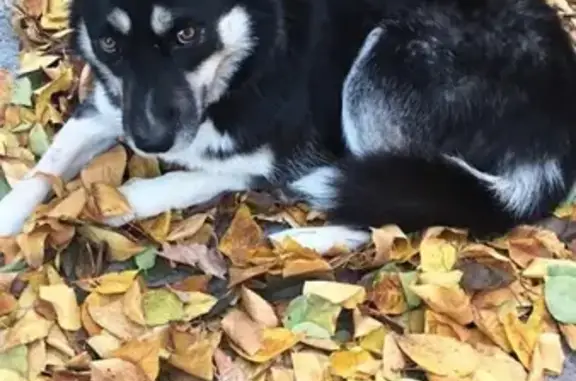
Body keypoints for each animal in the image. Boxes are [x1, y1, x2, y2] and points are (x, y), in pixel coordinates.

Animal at [1, 0, 576, 252]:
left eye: (187, 34)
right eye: (111, 43)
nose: (149, 141)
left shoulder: (282, 155)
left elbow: (197, 174)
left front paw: (130, 198)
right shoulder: (106, 106)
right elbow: (43, 168)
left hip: (376, 70)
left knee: (385, 215)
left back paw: (306, 239)